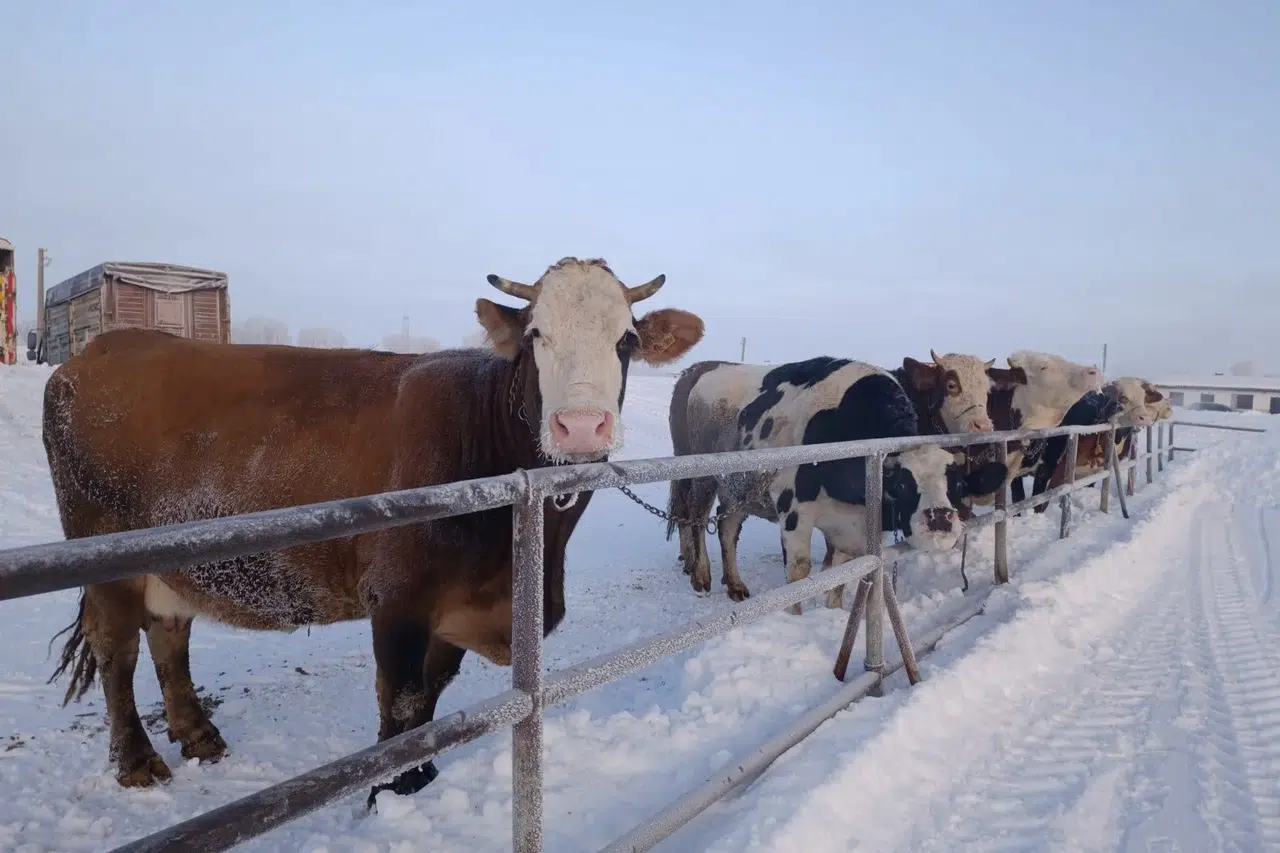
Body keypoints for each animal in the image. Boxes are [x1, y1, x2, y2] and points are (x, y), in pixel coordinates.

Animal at [42, 257, 705, 800]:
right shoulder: (398, 597)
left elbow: (433, 692)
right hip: (104, 554)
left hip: (175, 558)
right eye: (536, 334)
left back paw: (199, 733)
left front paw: (420, 777)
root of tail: (100, 351)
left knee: (168, 632)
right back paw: (137, 761)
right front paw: (388, 789)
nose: (582, 426)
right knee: (116, 649)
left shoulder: (454, 607)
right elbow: (403, 702)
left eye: (626, 339)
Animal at [666, 357, 1008, 610]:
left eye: (957, 486)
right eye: (902, 486)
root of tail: (702, 370)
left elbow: (840, 573)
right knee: (696, 518)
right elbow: (799, 574)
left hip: (740, 487)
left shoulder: (854, 526)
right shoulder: (793, 510)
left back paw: (735, 584)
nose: (940, 519)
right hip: (702, 477)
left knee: (727, 526)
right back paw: (700, 575)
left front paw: (832, 610)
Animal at [1031, 378, 1165, 511]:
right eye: (1123, 397)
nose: (1145, 417)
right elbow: (1040, 504)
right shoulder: (1047, 470)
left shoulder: (1092, 473)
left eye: (1143, 397)